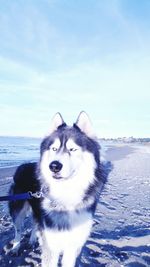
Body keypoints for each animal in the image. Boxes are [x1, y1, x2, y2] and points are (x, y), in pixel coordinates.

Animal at [9, 112, 105, 267]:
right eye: (54, 149)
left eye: (72, 149)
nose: (54, 166)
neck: (66, 194)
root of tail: (23, 165)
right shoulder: (51, 244)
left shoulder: (72, 245)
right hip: (17, 209)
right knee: (18, 230)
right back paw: (16, 247)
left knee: (35, 224)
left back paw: (31, 240)